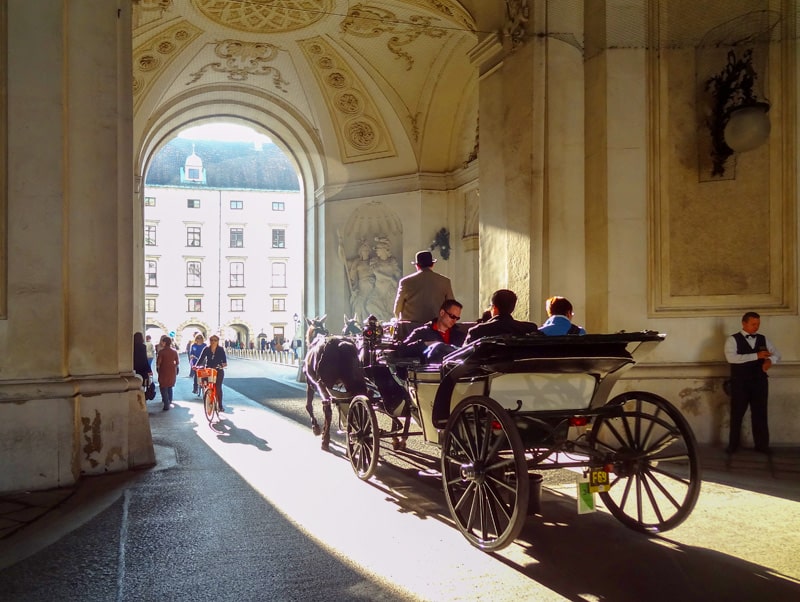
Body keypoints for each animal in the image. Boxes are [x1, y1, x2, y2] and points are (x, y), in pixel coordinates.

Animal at [304, 314, 368, 450]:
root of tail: (341, 345)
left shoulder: (310, 382)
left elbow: (309, 405)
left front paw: (316, 428)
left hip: (322, 383)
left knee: (327, 407)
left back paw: (325, 439)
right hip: (354, 382)